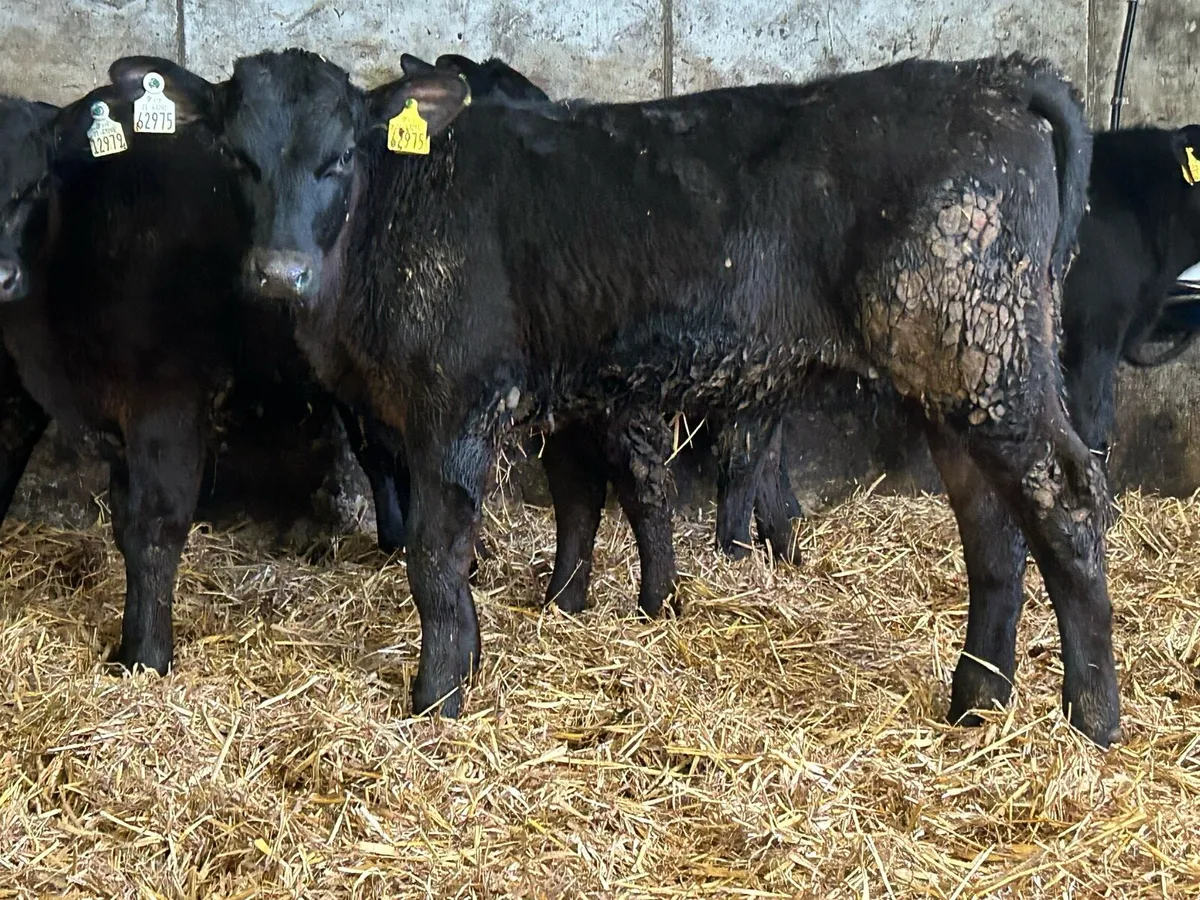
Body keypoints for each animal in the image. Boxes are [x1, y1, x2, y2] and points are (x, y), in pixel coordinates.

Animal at [0, 88, 408, 675]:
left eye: (32, 186)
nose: (1, 275)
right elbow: (122, 522)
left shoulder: (166, 406)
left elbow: (155, 527)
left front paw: (146, 656)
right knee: (381, 454)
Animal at [111, 49, 1122, 747]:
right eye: (236, 156)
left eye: (336, 159)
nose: (276, 272)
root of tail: (991, 78)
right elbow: (565, 506)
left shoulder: (456, 403)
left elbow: (436, 557)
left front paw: (438, 697)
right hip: (959, 378)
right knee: (993, 528)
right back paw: (978, 699)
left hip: (984, 360)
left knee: (1066, 502)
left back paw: (1091, 718)